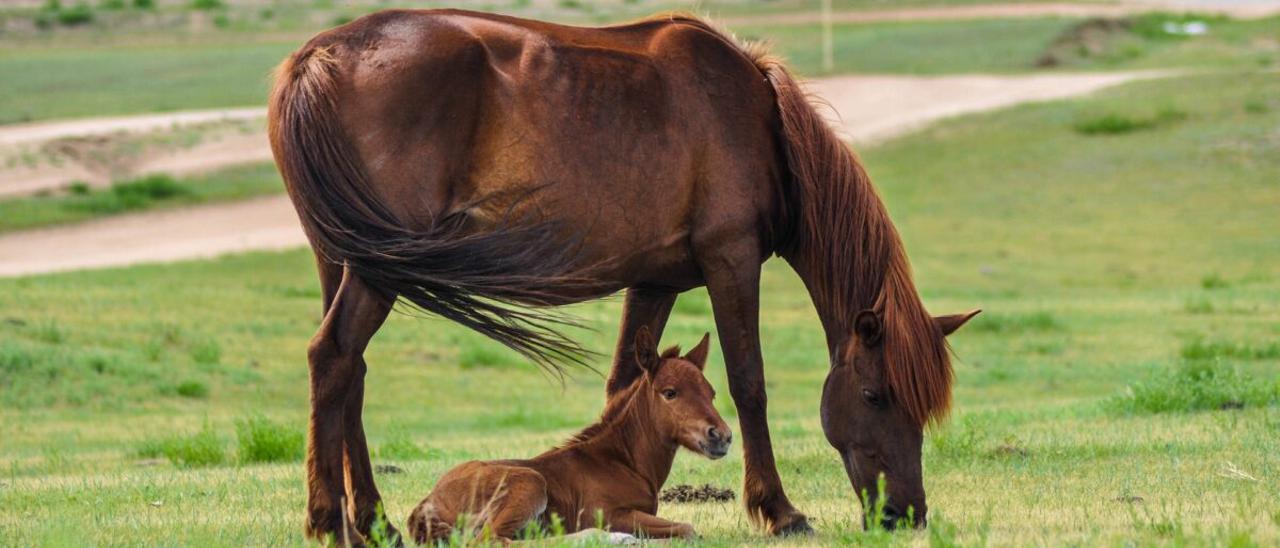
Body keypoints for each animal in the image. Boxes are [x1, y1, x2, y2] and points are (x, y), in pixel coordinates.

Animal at [409, 325, 732, 542]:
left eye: (712, 393)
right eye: (670, 392)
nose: (722, 436)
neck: (623, 461)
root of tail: (427, 503)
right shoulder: (610, 514)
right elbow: (688, 529)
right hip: (530, 483)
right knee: (493, 541)